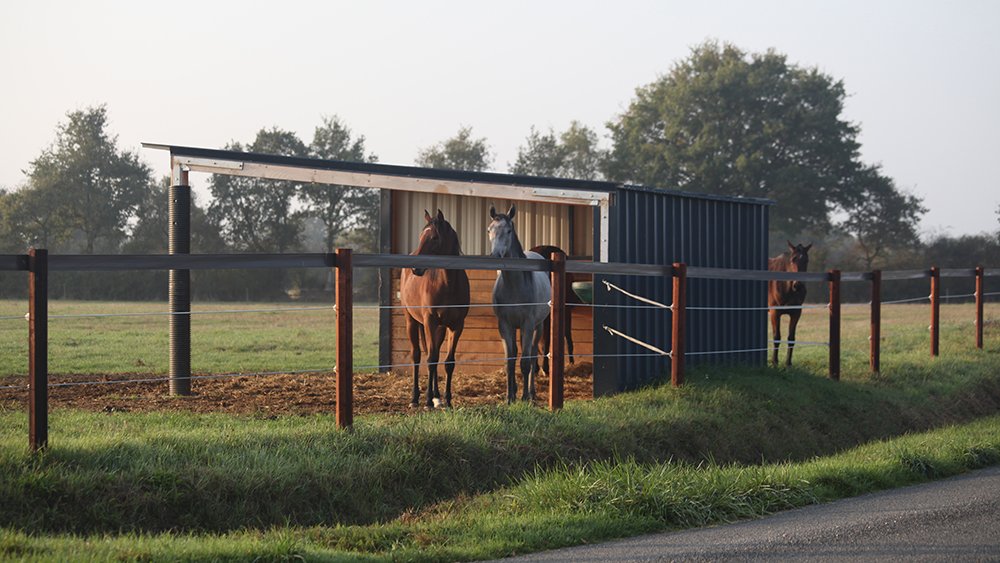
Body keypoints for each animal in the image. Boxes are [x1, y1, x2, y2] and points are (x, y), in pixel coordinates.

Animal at [399, 209, 470, 408]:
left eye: (434, 237)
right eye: (421, 237)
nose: (415, 268)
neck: (447, 284)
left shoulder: (456, 326)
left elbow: (448, 362)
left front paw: (447, 399)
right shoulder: (429, 321)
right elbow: (430, 360)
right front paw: (427, 401)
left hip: (440, 328)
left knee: (435, 353)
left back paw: (436, 397)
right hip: (412, 322)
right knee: (417, 356)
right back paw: (416, 398)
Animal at [488, 204, 551, 403]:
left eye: (508, 230)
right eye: (489, 230)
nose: (495, 255)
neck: (514, 286)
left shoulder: (528, 324)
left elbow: (525, 361)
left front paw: (524, 398)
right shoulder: (504, 325)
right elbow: (509, 361)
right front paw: (510, 397)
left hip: (538, 326)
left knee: (532, 355)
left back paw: (531, 393)